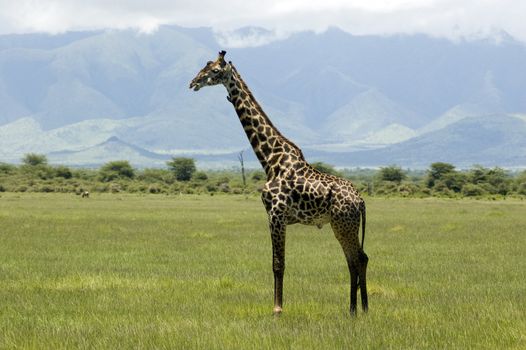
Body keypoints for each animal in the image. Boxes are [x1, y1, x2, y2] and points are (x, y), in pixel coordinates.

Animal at [192, 50, 370, 316]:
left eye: (214, 70)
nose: (193, 82)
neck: (270, 159)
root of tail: (361, 201)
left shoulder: (276, 214)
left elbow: (278, 263)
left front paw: (277, 309)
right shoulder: (276, 216)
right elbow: (276, 262)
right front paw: (277, 306)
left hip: (344, 224)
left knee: (357, 259)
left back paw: (358, 309)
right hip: (343, 224)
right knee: (356, 259)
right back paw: (356, 309)